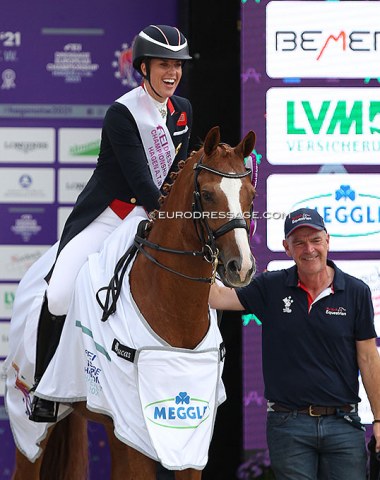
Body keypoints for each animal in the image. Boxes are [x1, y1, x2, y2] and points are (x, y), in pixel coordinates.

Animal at [8, 125, 256, 478]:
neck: (175, 313)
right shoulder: (134, 428)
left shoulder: (187, 439)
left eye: (252, 195)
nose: (242, 267)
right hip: (31, 424)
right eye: (207, 194)